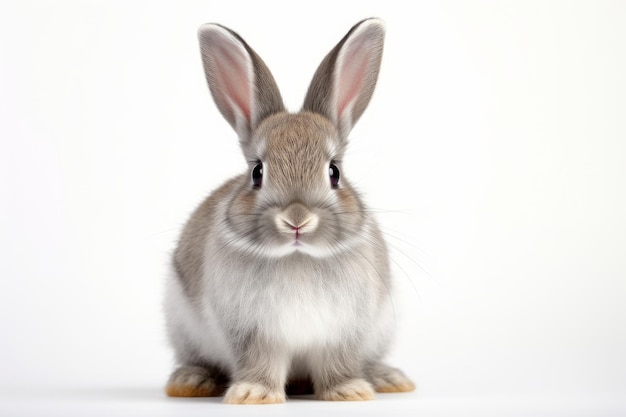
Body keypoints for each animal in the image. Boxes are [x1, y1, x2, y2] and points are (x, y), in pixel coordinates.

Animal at [163, 17, 412, 402]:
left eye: (334, 172)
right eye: (257, 172)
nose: (297, 221)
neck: (298, 258)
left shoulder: (343, 331)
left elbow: (338, 363)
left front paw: (350, 392)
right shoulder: (252, 332)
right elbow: (261, 361)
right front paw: (253, 395)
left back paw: (387, 378)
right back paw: (191, 381)